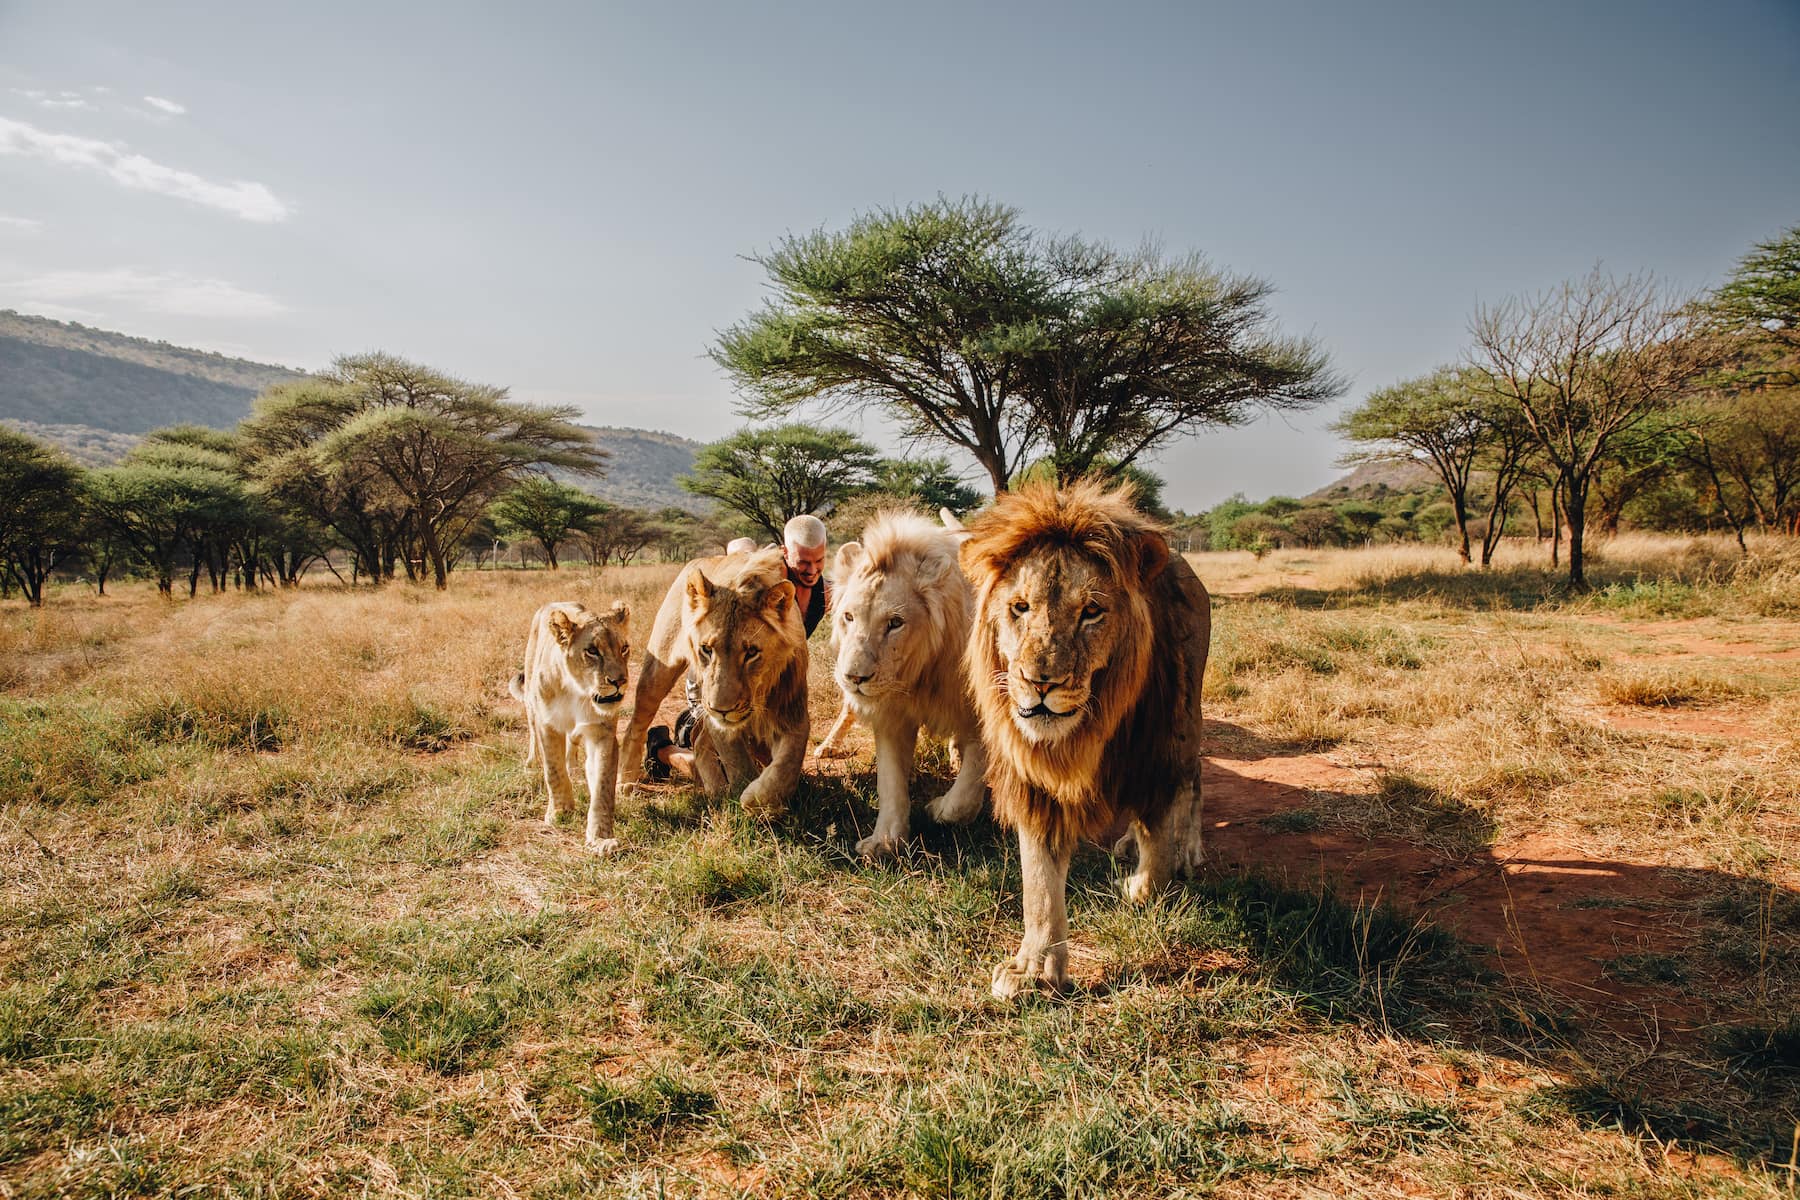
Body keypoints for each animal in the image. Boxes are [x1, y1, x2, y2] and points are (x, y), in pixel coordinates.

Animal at [508, 600, 632, 854]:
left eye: (624, 648)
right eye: (592, 651)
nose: (619, 681)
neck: (578, 691)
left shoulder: (602, 732)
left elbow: (603, 787)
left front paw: (601, 839)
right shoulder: (548, 725)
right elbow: (553, 771)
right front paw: (560, 811)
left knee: (572, 744)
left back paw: (573, 767)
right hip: (531, 700)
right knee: (532, 732)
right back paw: (531, 762)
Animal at [617, 546, 809, 816]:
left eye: (751, 652)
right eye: (706, 649)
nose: (722, 710)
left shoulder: (793, 710)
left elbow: (788, 766)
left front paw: (760, 799)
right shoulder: (718, 722)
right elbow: (738, 763)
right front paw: (743, 797)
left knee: (697, 742)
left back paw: (712, 786)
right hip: (659, 671)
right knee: (637, 725)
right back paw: (627, 780)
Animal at [821, 510, 987, 858]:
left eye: (895, 623)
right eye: (848, 617)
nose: (854, 678)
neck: (922, 673)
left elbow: (967, 792)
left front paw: (938, 809)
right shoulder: (891, 715)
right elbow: (891, 781)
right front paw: (885, 841)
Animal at [960, 480, 1211, 998]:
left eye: (1091, 611)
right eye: (1020, 608)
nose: (1040, 683)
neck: (1087, 730)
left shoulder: (1157, 754)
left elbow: (1159, 840)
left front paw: (1146, 886)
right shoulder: (1033, 783)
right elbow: (1039, 882)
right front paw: (1035, 969)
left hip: (1188, 717)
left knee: (1193, 780)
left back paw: (1187, 849)